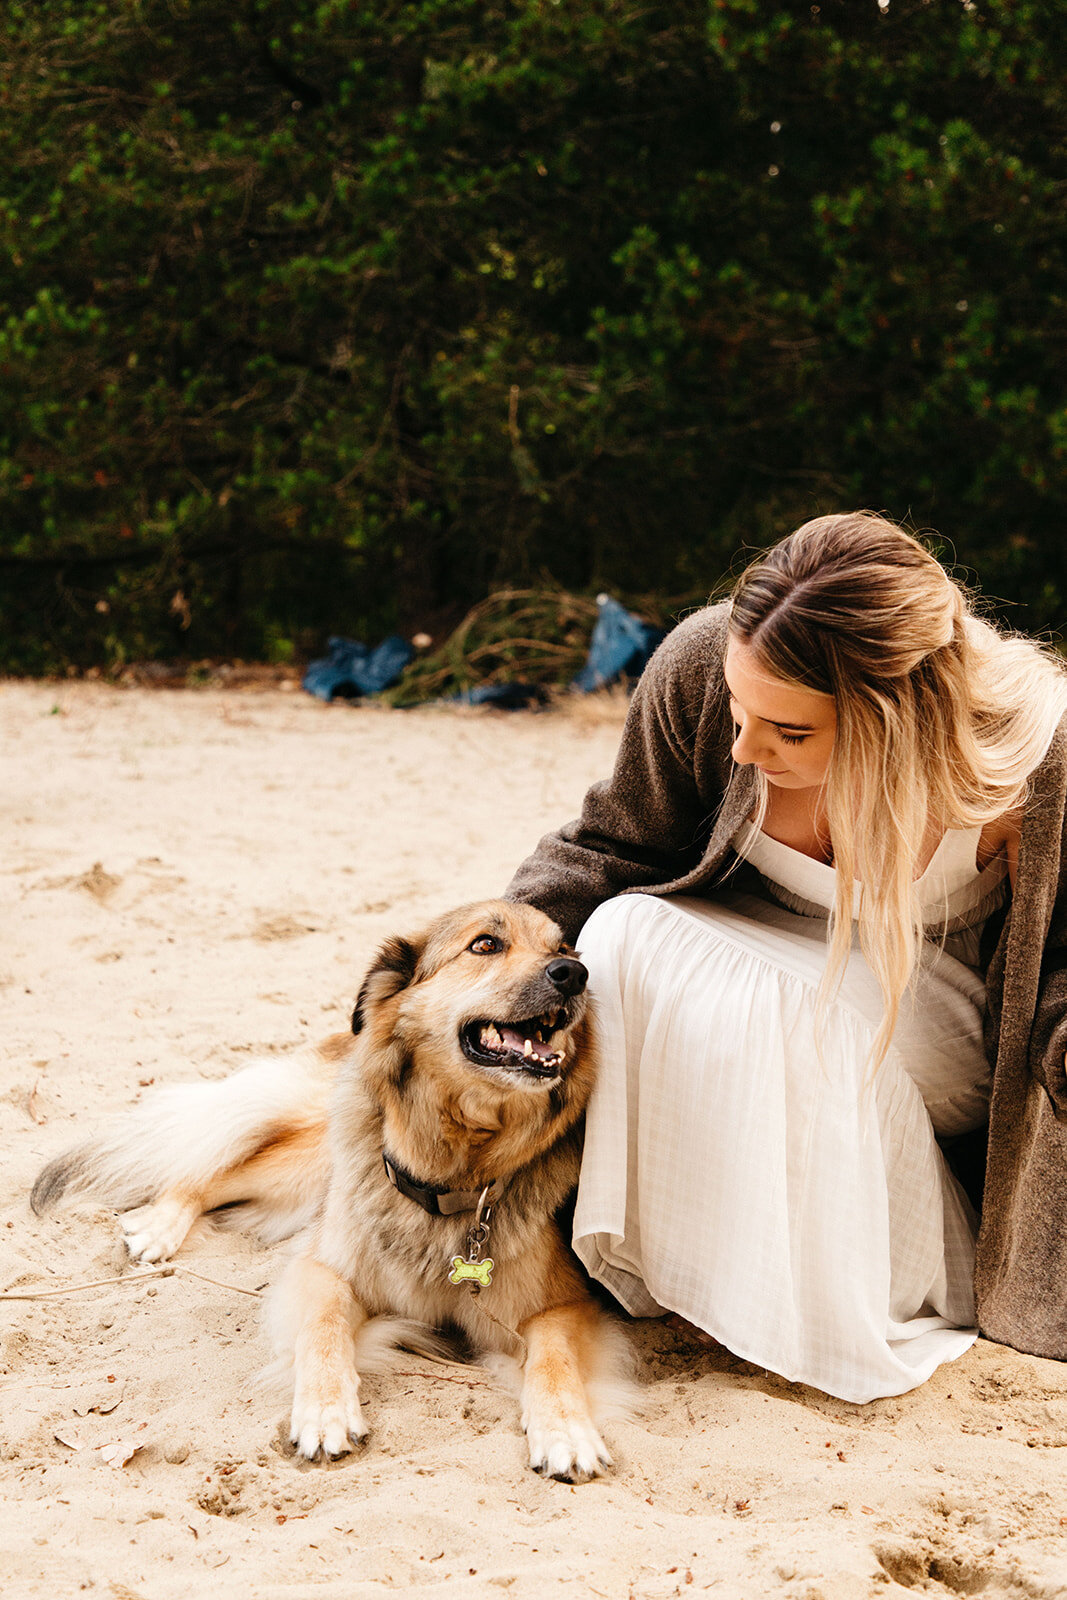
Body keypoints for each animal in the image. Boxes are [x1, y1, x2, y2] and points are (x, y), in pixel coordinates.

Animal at [31, 902, 633, 1484]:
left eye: (564, 948)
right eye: (485, 944)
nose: (573, 975)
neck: (457, 1174)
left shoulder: (559, 1305)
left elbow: (553, 1361)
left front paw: (567, 1433)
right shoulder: (324, 1269)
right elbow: (323, 1329)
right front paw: (324, 1414)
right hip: (312, 1163)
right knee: (208, 1172)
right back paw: (160, 1227)